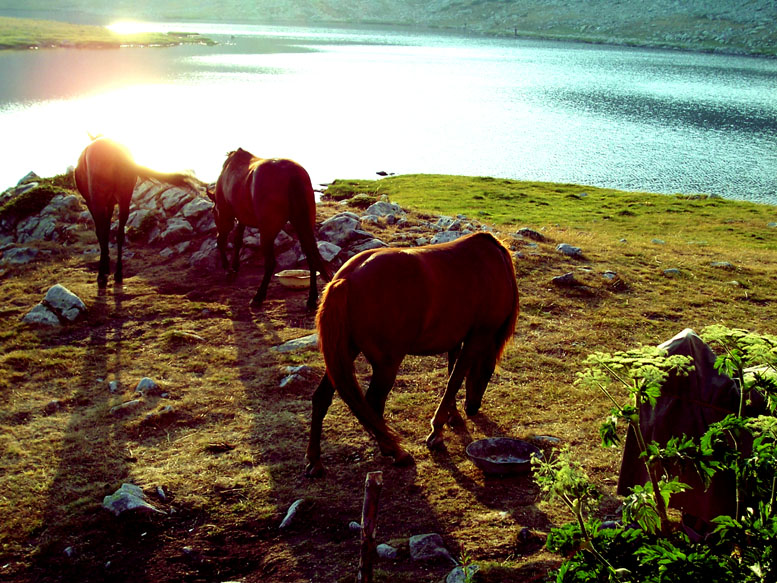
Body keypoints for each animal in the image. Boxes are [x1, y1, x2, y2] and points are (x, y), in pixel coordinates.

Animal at [74, 137, 199, 287]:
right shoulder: (110, 204)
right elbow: (107, 229)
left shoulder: (94, 203)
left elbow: (101, 232)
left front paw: (104, 268)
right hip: (124, 197)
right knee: (120, 233)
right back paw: (118, 273)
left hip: (99, 198)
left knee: (105, 232)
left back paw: (102, 275)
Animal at [207, 148, 332, 310]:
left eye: (213, 212)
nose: (217, 235)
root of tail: (292, 172)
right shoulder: (241, 218)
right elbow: (238, 240)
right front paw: (234, 267)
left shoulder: (228, 213)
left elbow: (232, 240)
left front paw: (229, 270)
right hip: (303, 225)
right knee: (311, 258)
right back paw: (311, 300)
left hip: (268, 231)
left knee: (271, 263)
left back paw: (258, 297)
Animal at [305, 232, 519, 477]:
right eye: (488, 371)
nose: (472, 409)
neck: (495, 265)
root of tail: (346, 279)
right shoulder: (476, 338)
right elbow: (455, 379)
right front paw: (436, 432)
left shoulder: (457, 339)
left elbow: (452, 374)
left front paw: (453, 416)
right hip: (386, 365)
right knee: (373, 404)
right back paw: (395, 452)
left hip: (345, 354)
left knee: (322, 398)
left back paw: (315, 461)